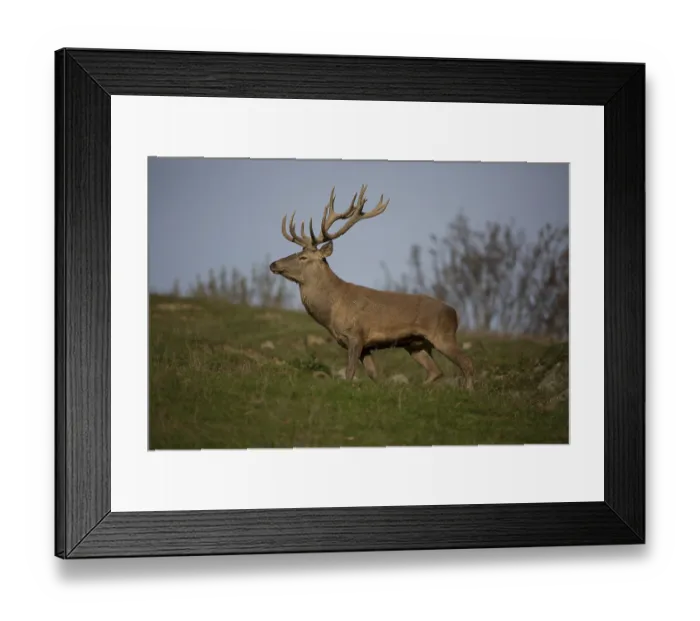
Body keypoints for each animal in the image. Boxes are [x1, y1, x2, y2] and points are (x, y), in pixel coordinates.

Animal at [269, 185, 475, 389]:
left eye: (303, 257)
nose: (273, 264)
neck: (332, 309)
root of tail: (454, 313)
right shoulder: (364, 346)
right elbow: (374, 374)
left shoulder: (356, 335)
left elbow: (350, 372)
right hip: (416, 344)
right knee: (435, 371)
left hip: (443, 335)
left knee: (467, 362)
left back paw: (468, 391)